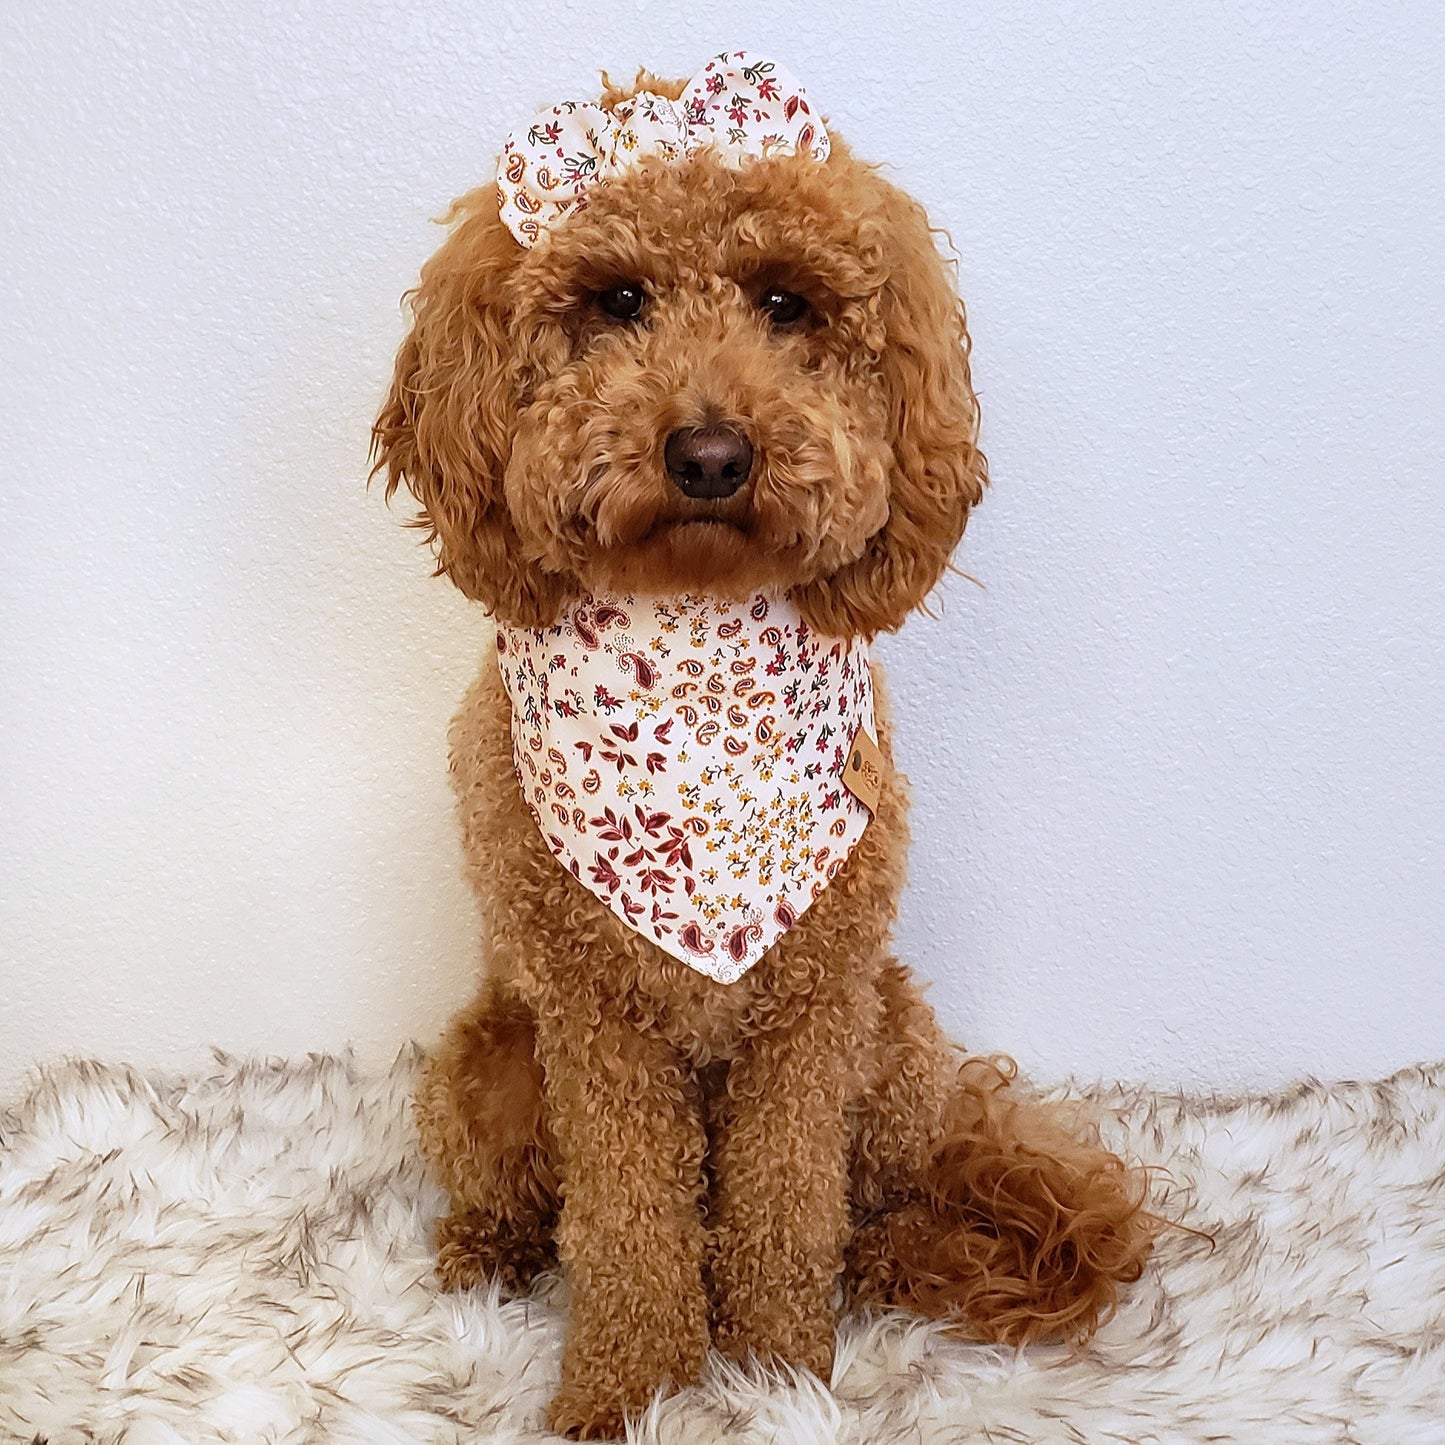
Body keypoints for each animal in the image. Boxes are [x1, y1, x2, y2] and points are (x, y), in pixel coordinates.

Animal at [369, 50, 1150, 1439]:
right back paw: (484, 1252)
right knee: (525, 1190)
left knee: (875, 1202)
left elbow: (785, 1208)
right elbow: (627, 1222)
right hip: (486, 1060)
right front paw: (625, 1391)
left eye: (785, 303)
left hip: (891, 1044)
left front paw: (782, 1375)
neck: (690, 647)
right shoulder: (597, 1027)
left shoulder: (810, 1011)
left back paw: (882, 1264)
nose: (709, 452)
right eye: (617, 300)